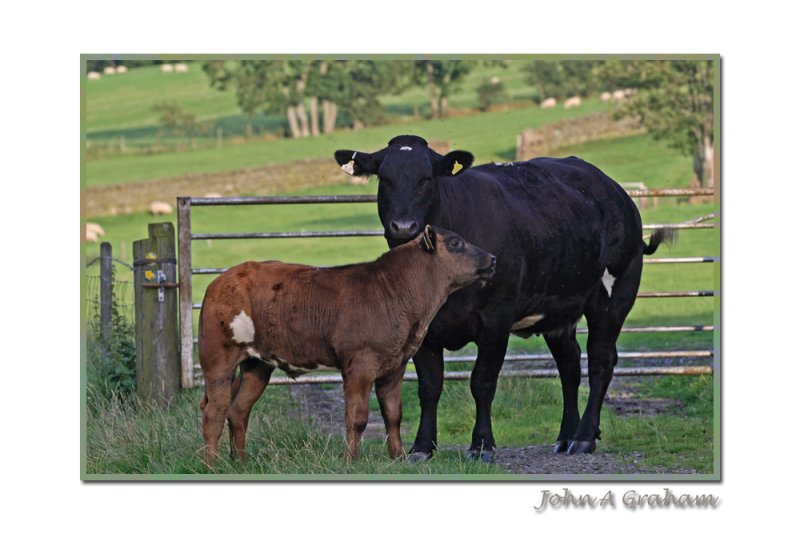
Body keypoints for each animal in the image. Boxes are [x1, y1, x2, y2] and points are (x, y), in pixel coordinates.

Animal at [198, 226, 494, 464]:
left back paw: (240, 462)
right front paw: (351, 460)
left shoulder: (396, 363)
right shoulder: (360, 363)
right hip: (217, 357)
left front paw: (398, 458)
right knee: (214, 411)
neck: (396, 292)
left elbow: (393, 413)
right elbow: (357, 417)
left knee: (238, 410)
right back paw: (213, 465)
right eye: (455, 243)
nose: (492, 258)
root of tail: (221, 280)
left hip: (257, 363)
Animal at [334, 134, 672, 460]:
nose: (404, 227)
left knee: (601, 360)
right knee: (570, 365)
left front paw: (482, 444)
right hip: (559, 310)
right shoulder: (423, 328)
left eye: (426, 178)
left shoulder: (496, 318)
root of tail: (616, 192)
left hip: (614, 293)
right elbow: (429, 387)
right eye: (385, 178)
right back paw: (566, 435)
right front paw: (422, 446)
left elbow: (482, 381)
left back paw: (584, 437)